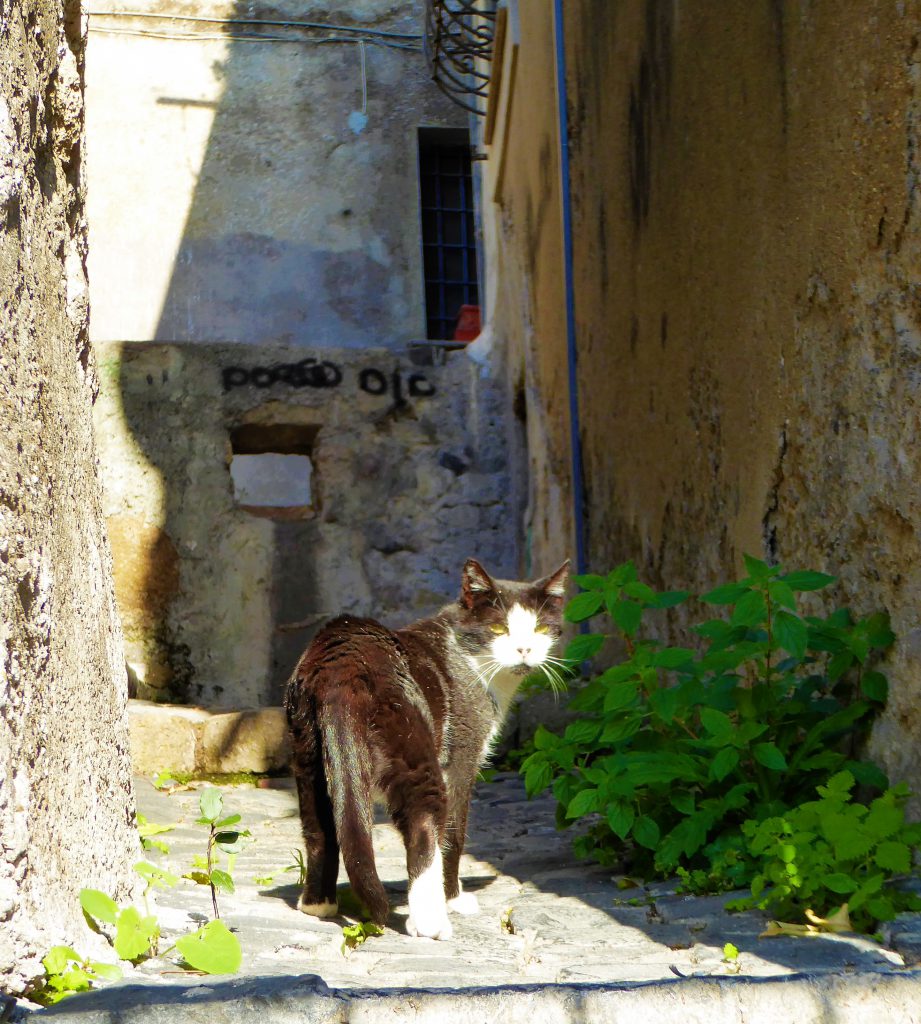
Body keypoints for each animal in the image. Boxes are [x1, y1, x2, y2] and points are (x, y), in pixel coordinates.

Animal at [282, 557, 569, 937]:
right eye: (497, 629)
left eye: (539, 628)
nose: (524, 650)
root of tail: (343, 664)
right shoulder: (461, 757)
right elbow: (453, 835)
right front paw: (455, 899)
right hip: (416, 755)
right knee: (422, 828)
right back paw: (431, 922)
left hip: (307, 754)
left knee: (319, 829)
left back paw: (317, 904)